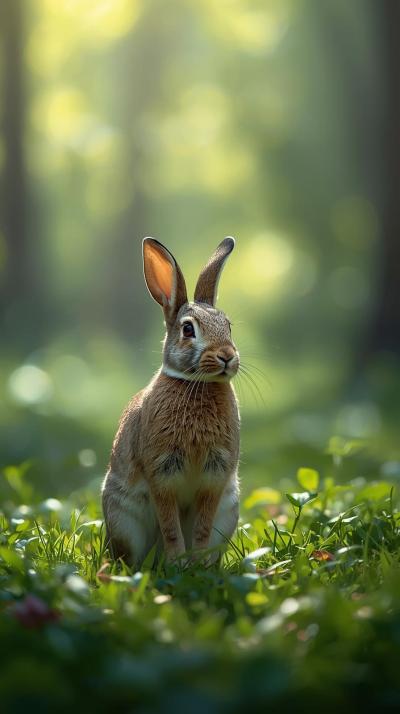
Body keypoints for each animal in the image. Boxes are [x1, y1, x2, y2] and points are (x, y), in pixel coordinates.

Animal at [102, 236, 240, 567]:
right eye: (188, 329)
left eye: (228, 326)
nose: (227, 356)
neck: (197, 384)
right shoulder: (161, 473)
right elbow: (171, 527)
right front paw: (178, 562)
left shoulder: (214, 476)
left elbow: (201, 527)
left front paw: (197, 562)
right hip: (124, 519)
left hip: (229, 511)